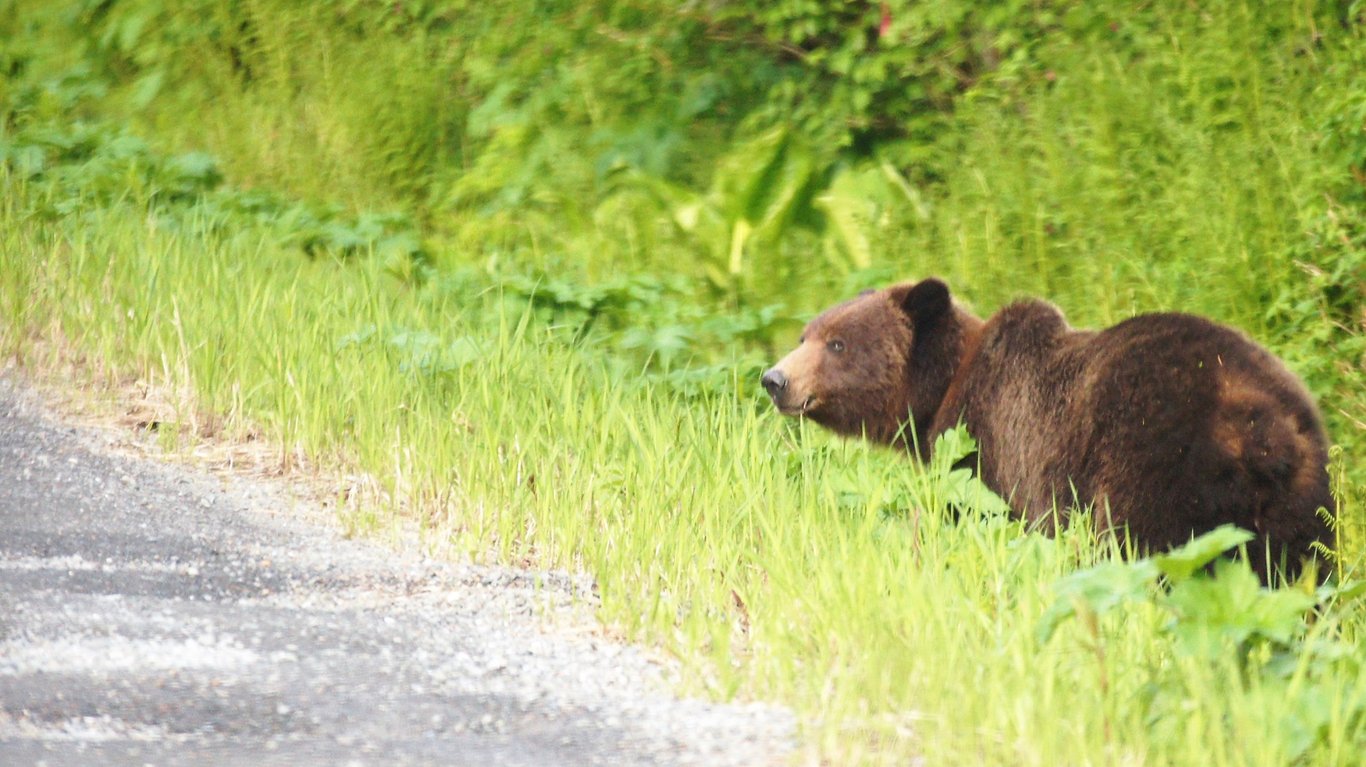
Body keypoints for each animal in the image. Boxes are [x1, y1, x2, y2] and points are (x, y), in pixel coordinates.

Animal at [760, 278, 1335, 582]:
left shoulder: (989, 444)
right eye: (806, 334)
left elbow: (964, 514)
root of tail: (1258, 428)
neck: (941, 392)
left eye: (837, 344)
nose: (774, 379)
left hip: (1157, 465)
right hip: (1300, 496)